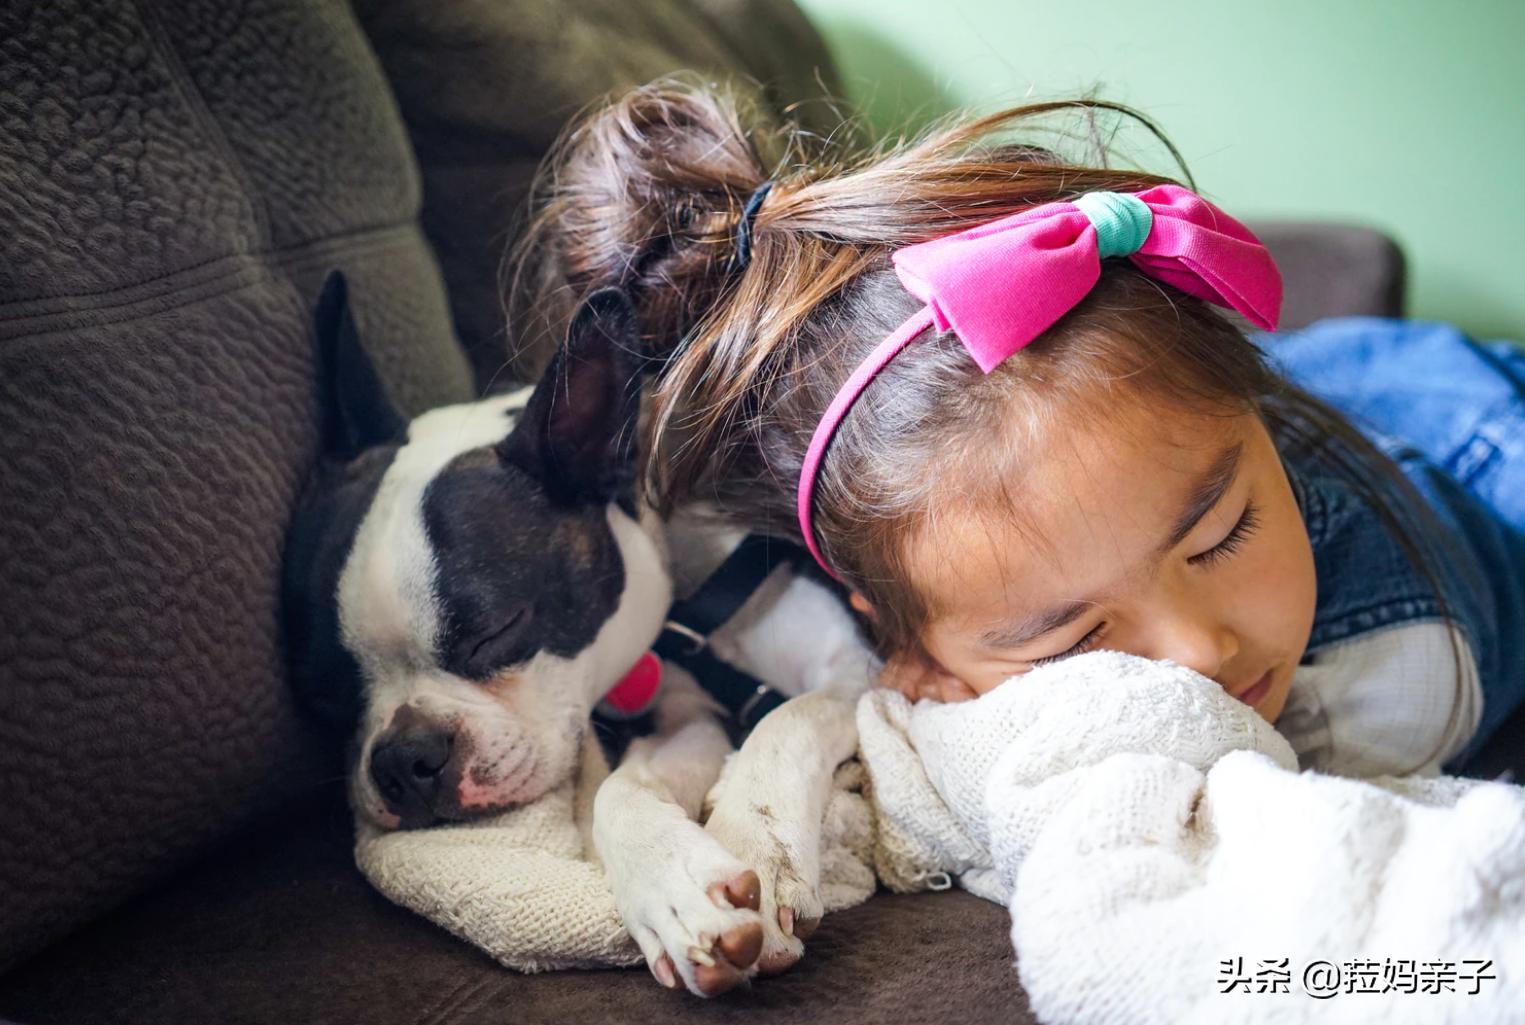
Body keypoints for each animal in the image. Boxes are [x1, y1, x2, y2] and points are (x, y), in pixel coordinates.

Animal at [285, 276, 878, 994]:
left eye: (495, 632)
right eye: (324, 695)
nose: (403, 758)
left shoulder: (857, 664)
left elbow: (788, 719)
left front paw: (757, 843)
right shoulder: (683, 713)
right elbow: (620, 790)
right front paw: (674, 890)